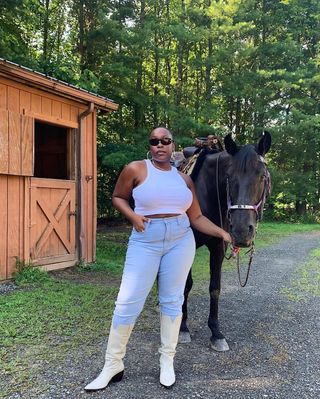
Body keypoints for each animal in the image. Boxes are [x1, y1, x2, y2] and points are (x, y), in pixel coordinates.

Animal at [179, 131, 272, 350]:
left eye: (262, 176)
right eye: (229, 177)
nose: (241, 231)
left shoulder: (219, 247)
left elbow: (215, 288)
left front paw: (216, 332)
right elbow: (186, 285)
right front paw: (183, 328)